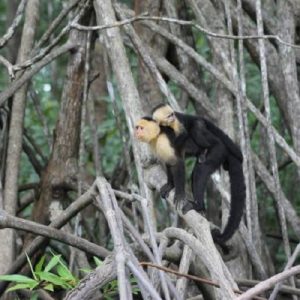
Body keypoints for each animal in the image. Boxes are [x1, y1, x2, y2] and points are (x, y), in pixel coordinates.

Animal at [152, 103, 246, 244]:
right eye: (168, 116)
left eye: (171, 115)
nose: (172, 117)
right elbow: (169, 160)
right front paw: (170, 185)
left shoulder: (178, 124)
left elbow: (180, 148)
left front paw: (179, 193)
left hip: (218, 150)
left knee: (201, 162)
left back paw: (199, 206)